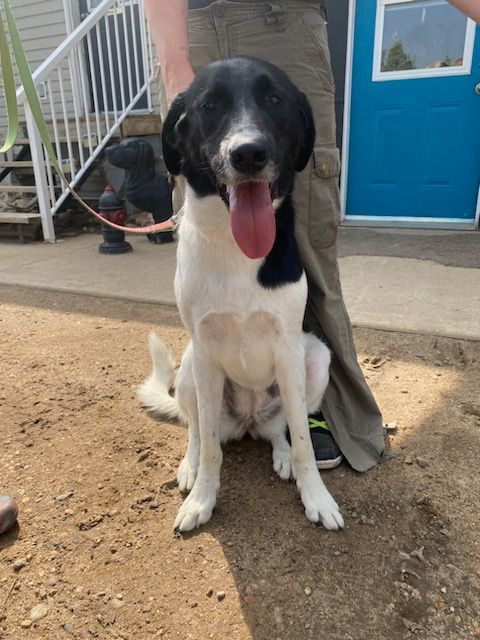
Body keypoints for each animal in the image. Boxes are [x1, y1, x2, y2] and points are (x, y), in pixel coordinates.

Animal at [137, 57, 344, 532]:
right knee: (198, 429)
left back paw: (280, 454)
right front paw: (202, 499)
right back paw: (190, 466)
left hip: (315, 358)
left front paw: (316, 498)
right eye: (209, 105)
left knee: (282, 428)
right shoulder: (206, 351)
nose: (248, 153)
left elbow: (303, 441)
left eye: (274, 99)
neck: (236, 247)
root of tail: (249, 423)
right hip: (191, 367)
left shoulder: (288, 348)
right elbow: (211, 447)